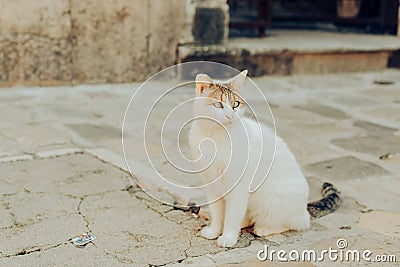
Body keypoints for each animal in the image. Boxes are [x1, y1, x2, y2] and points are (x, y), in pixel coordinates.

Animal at [189, 70, 340, 248]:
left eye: (235, 105)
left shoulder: (238, 188)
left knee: (295, 223)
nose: (230, 115)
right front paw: (214, 231)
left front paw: (228, 237)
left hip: (272, 202)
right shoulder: (212, 185)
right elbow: (217, 213)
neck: (215, 136)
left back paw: (264, 228)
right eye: (218, 105)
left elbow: (232, 216)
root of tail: (304, 209)